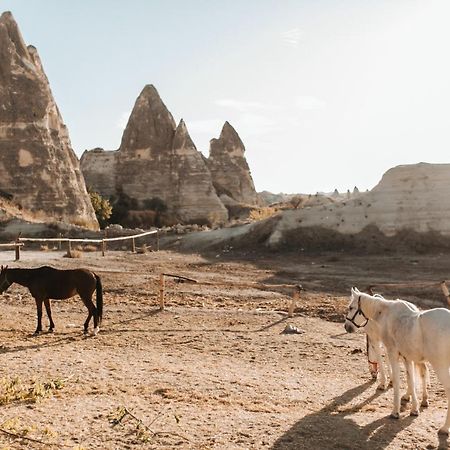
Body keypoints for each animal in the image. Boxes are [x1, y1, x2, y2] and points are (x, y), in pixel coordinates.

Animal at [344, 288, 440, 426]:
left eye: (351, 308)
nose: (347, 327)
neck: (383, 315)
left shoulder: (385, 346)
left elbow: (386, 366)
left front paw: (395, 410)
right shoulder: (403, 354)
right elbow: (409, 378)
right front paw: (414, 408)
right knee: (422, 372)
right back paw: (421, 399)